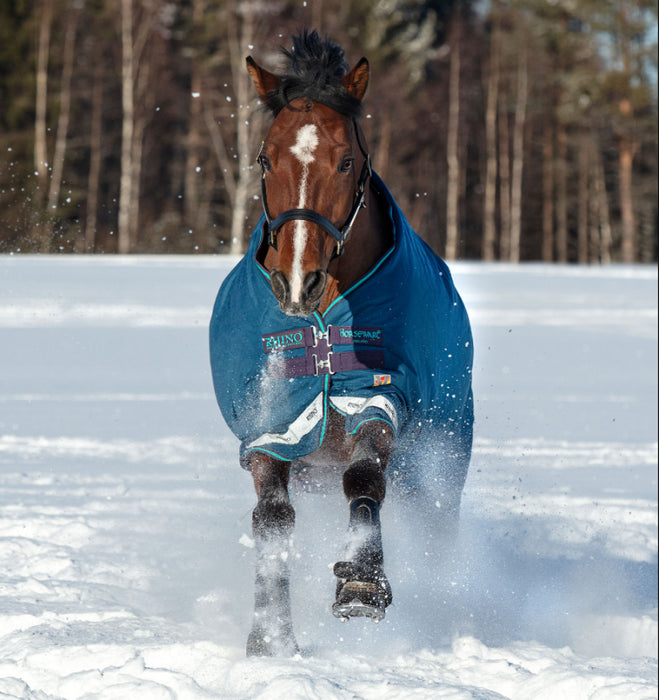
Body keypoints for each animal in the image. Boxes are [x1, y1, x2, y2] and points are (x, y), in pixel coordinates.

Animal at [209, 31, 472, 656]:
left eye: (346, 159)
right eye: (265, 157)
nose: (296, 281)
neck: (324, 324)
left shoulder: (378, 395)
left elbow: (364, 477)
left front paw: (362, 581)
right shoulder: (271, 423)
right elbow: (272, 518)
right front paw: (271, 637)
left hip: (441, 458)